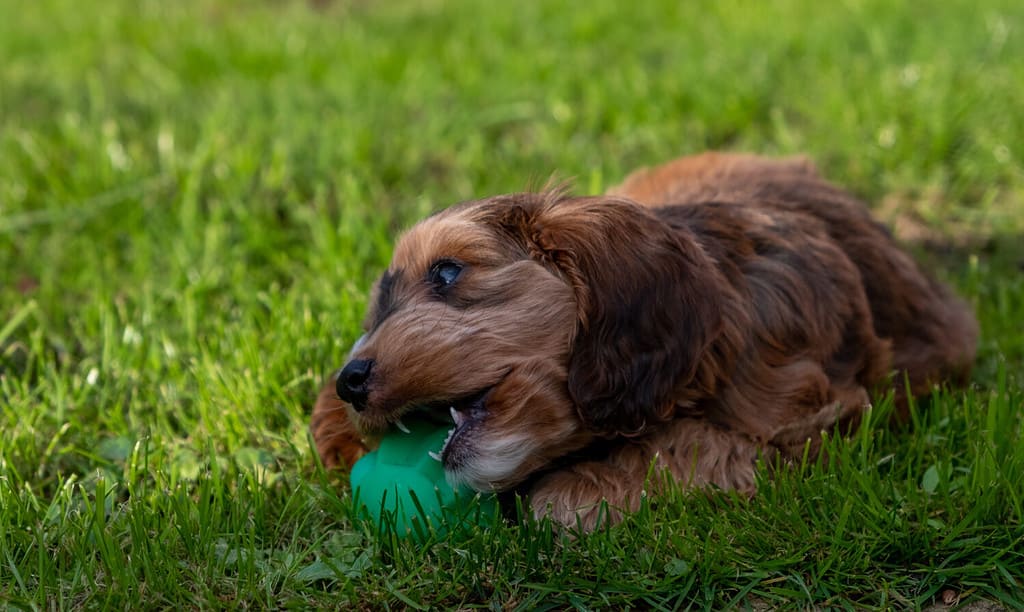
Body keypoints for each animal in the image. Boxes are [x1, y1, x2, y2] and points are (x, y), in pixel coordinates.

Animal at [309, 153, 974, 532]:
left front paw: (578, 491)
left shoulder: (821, 416)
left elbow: (700, 445)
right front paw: (333, 425)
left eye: (446, 273)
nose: (350, 381)